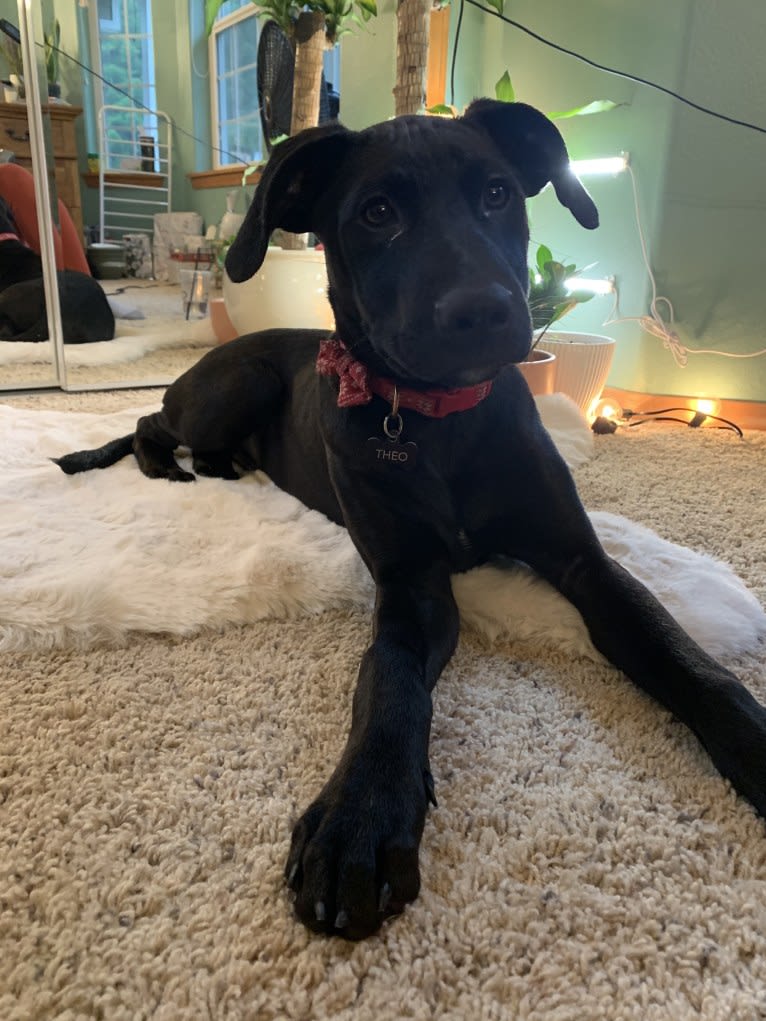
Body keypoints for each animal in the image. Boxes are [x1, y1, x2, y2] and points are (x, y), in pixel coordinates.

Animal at [55, 103, 766, 939]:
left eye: (497, 192)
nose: (484, 311)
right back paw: (168, 465)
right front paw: (360, 818)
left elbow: (683, 655)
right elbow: (389, 679)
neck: (437, 423)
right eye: (377, 213)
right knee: (147, 420)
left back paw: (227, 467)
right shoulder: (411, 584)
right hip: (234, 385)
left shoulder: (582, 561)